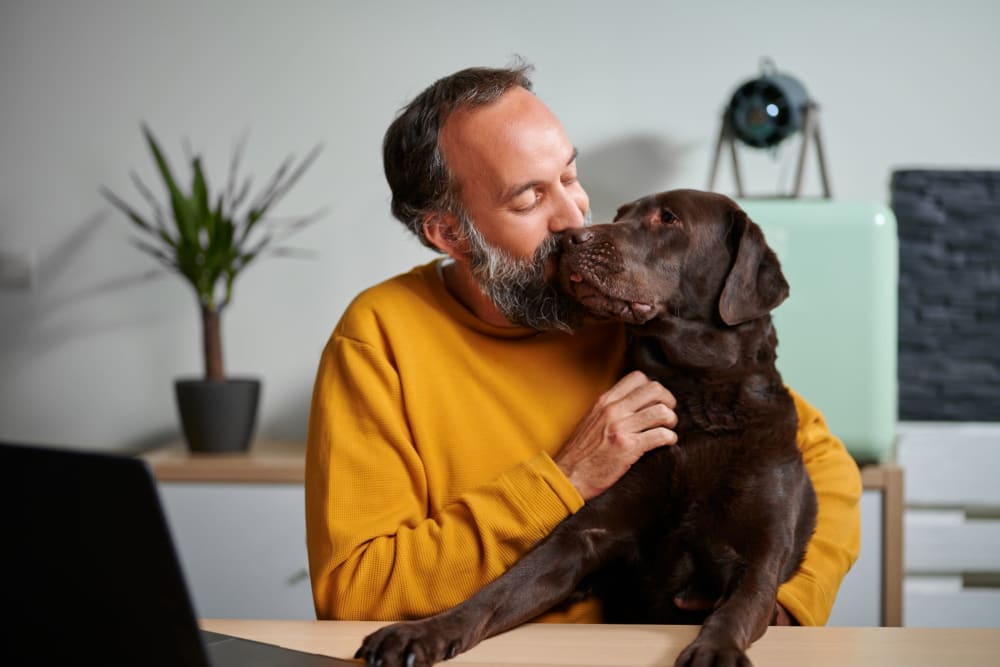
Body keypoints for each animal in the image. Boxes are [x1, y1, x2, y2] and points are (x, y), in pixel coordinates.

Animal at [356, 190, 816, 667]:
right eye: (620, 214)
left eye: (668, 218)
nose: (569, 239)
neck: (697, 400)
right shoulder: (582, 536)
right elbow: (495, 593)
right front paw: (423, 631)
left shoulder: (759, 557)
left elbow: (736, 610)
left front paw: (714, 651)